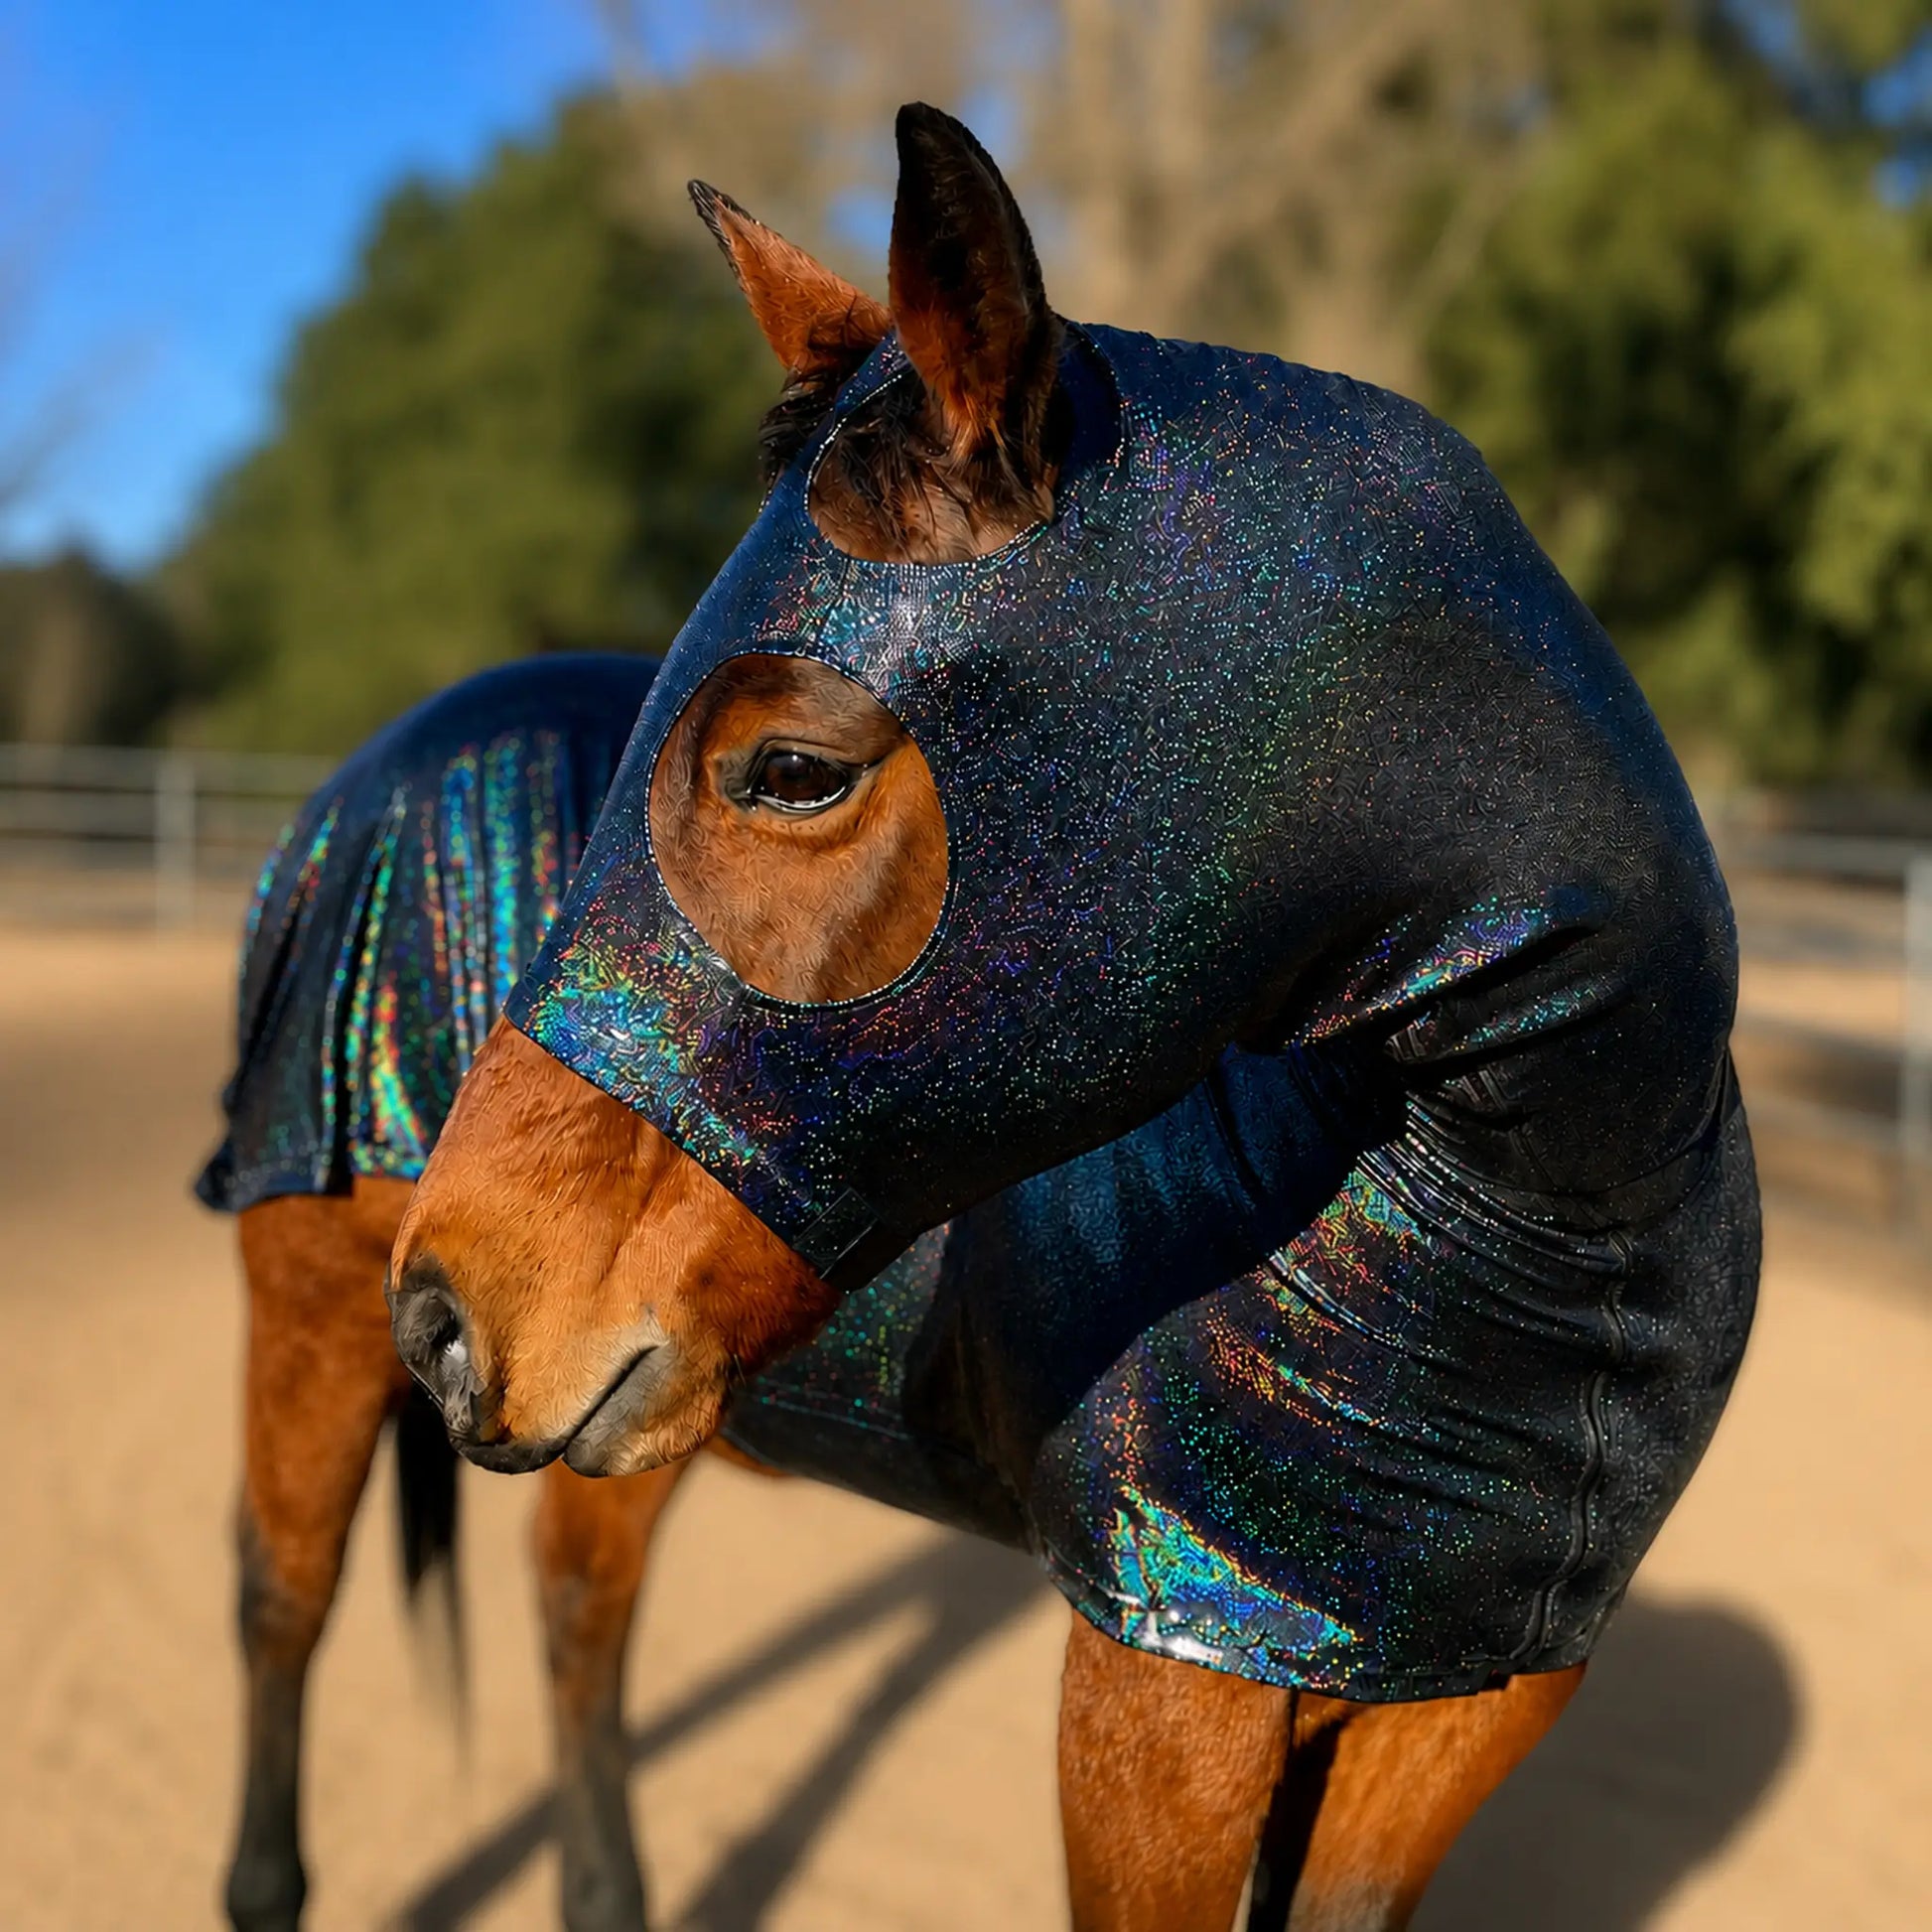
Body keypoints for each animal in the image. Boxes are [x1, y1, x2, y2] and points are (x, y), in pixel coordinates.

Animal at [387, 105, 1760, 1931]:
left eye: (791, 768)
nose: (443, 1317)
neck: (1567, 1222)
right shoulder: (1158, 1705)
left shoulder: (1444, 1721)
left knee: (575, 1611)